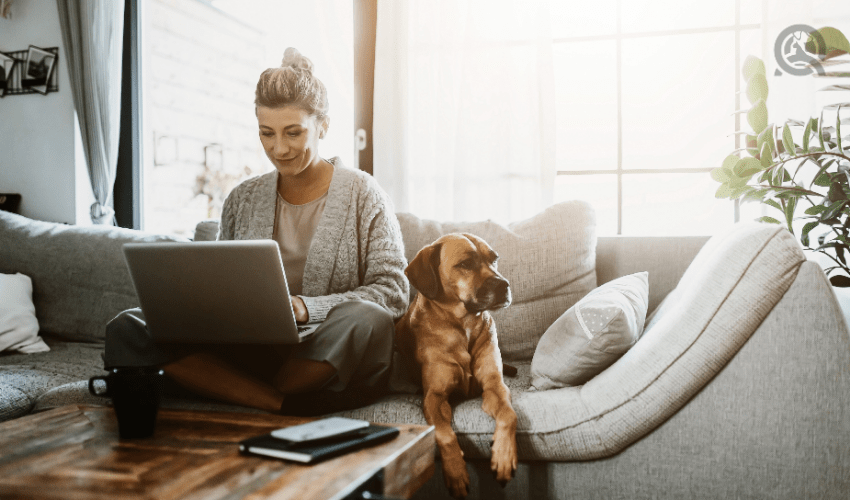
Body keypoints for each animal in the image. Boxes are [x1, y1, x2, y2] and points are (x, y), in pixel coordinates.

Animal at [396, 233, 516, 496]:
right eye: (465, 264)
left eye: (494, 259)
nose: (504, 285)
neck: (464, 325)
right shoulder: (435, 397)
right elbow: (444, 434)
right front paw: (456, 471)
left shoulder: (494, 386)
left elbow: (509, 414)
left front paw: (503, 456)